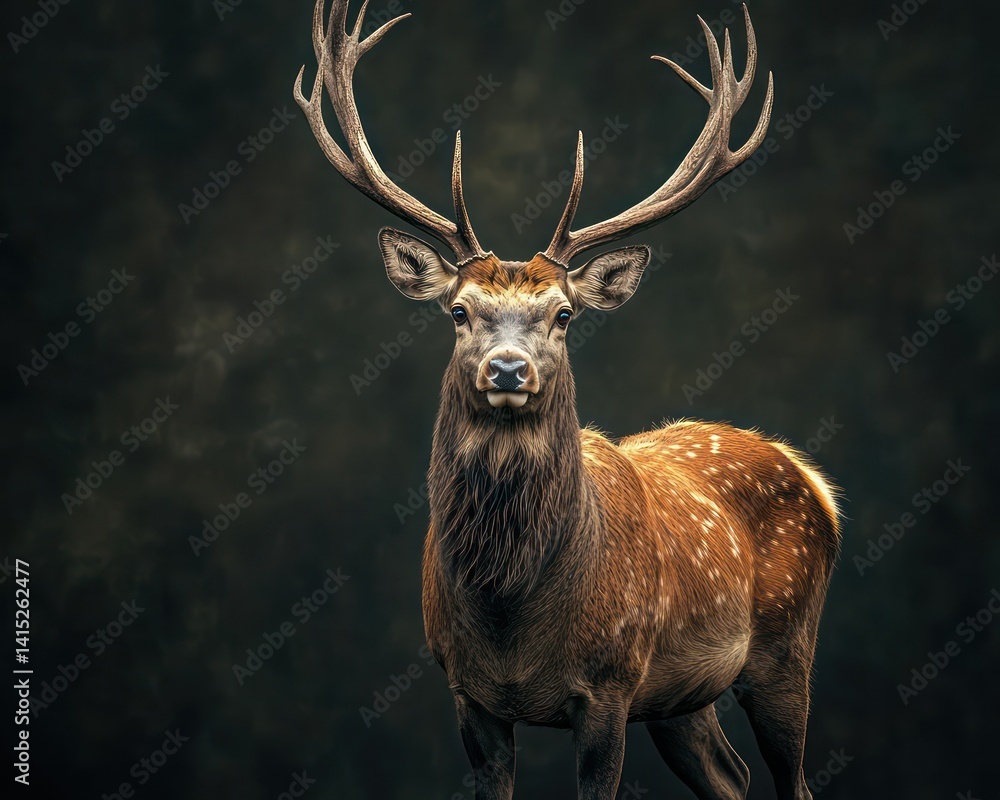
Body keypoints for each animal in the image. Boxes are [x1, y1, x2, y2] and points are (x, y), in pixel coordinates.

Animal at [294, 2, 841, 798]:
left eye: (564, 314)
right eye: (458, 311)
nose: (508, 370)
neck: (510, 619)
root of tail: (809, 475)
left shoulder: (610, 682)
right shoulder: (467, 693)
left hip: (784, 646)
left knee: (791, 777)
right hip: (681, 697)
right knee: (730, 775)